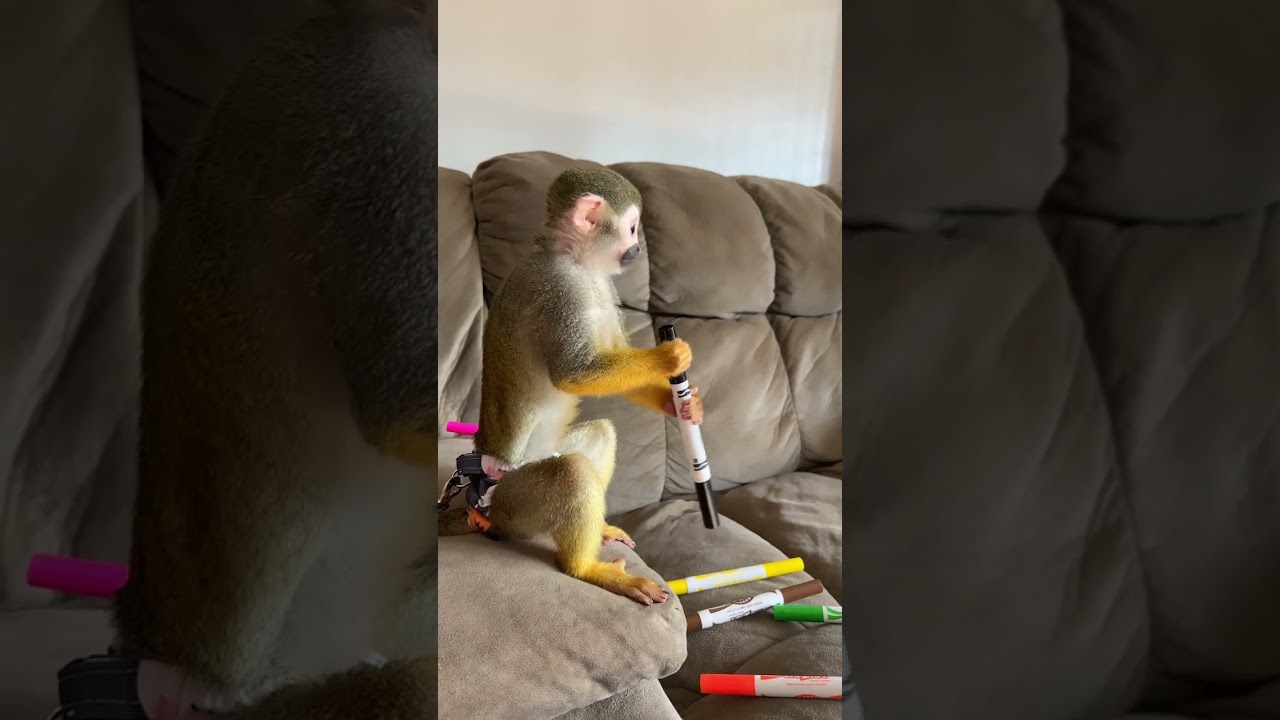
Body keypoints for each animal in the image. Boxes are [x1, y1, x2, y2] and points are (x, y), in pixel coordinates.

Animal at [438, 167, 705, 607]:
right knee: (571, 473)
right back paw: (585, 569)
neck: (576, 261)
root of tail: (482, 513)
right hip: (510, 502)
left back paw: (599, 530)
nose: (637, 249)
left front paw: (682, 405)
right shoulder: (560, 289)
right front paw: (669, 357)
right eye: (633, 227)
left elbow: (613, 356)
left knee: (599, 435)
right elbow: (575, 373)